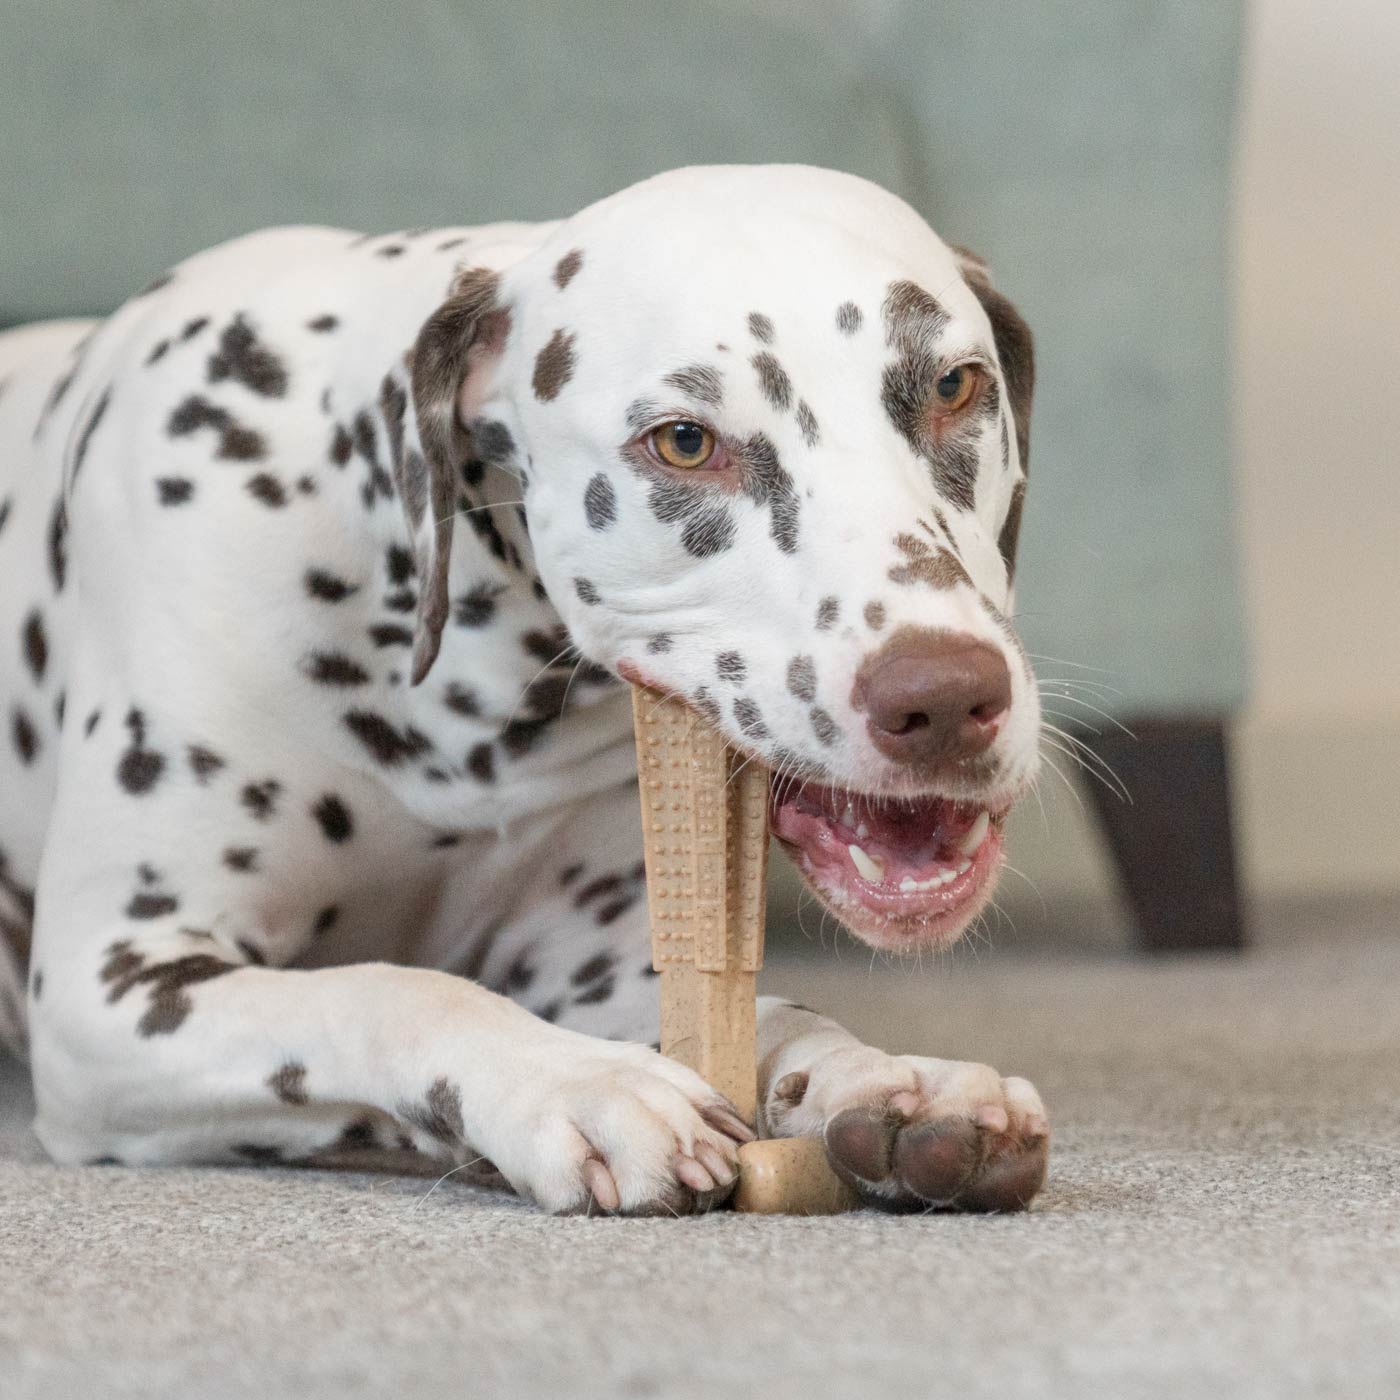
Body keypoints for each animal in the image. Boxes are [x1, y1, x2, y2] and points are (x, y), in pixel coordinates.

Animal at [0, 166, 1047, 1215]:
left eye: (954, 386)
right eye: (683, 441)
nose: (946, 698)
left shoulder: (594, 966)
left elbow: (771, 1013)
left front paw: (880, 1077)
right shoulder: (107, 992)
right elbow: (390, 989)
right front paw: (579, 1084)